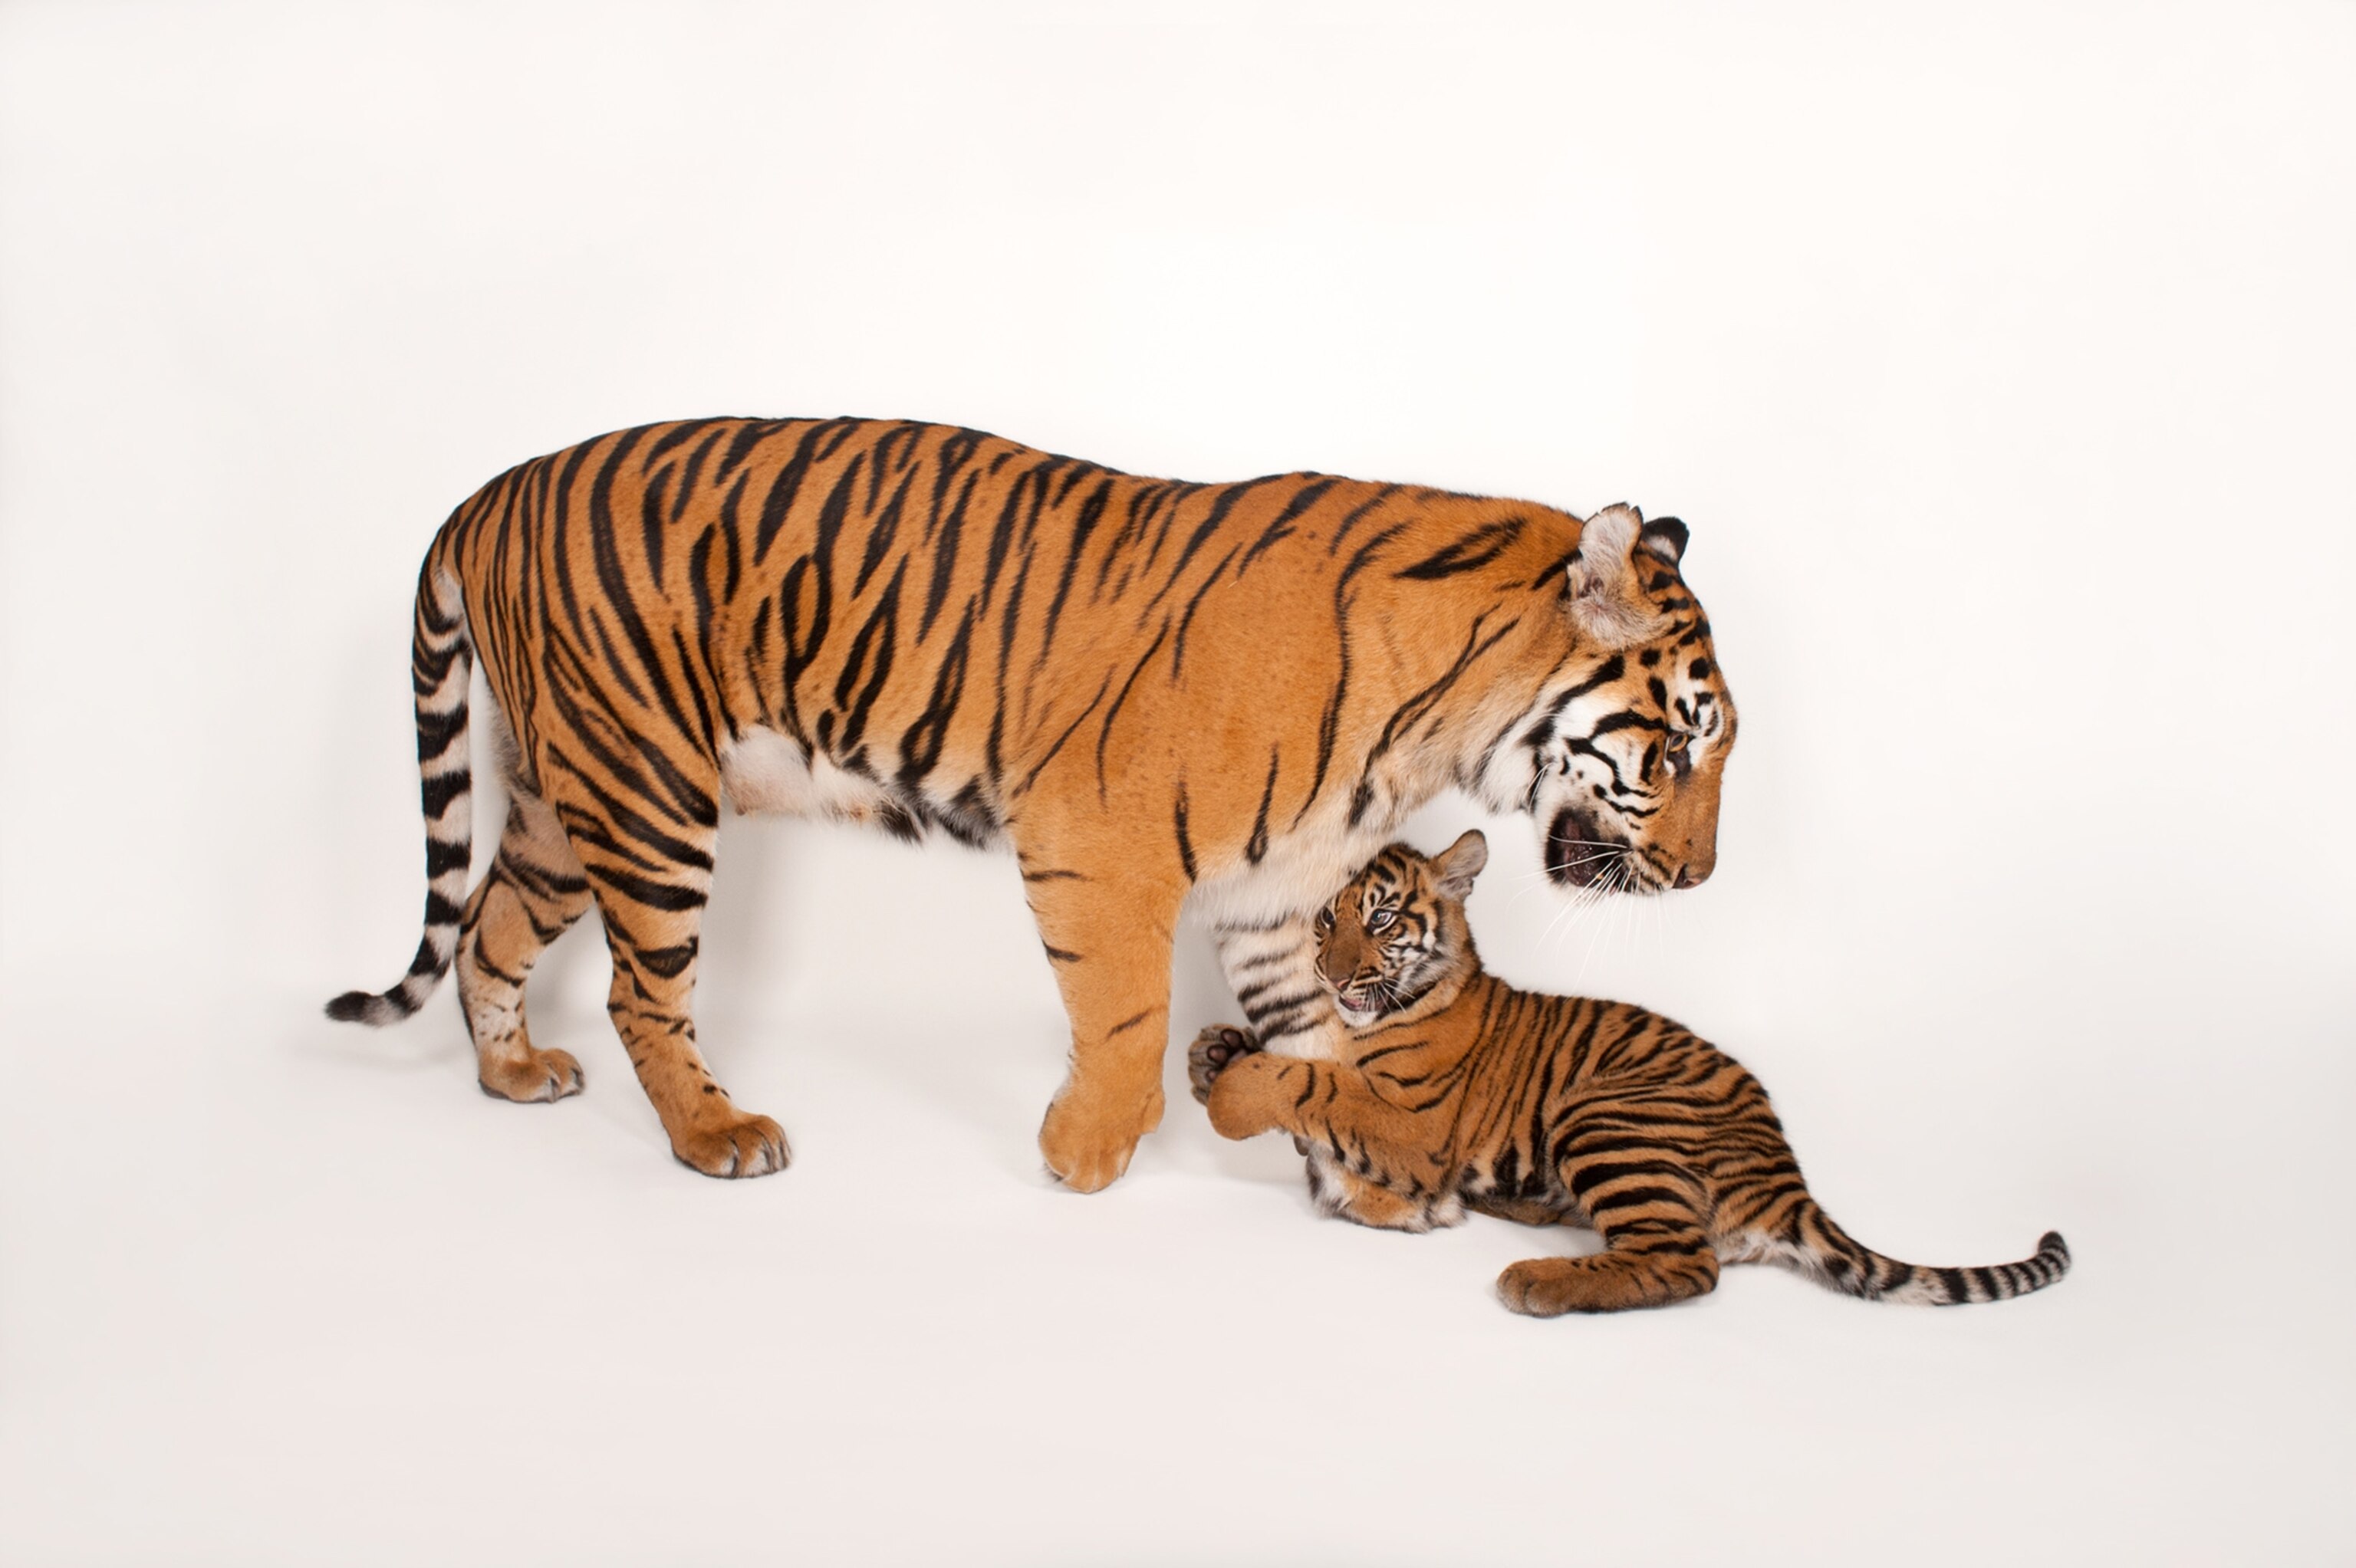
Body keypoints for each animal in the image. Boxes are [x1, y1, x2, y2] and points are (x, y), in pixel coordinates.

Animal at [326, 416, 1736, 1189]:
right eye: (1679, 750)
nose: (1705, 877)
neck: (1431, 727)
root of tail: (492, 488)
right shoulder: (1097, 843)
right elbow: (1123, 1014)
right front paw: (1089, 1153)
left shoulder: (1275, 893)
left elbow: (1314, 1046)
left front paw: (1349, 1151)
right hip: (647, 793)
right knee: (638, 990)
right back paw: (717, 1132)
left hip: (563, 799)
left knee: (490, 932)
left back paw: (514, 1074)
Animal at [1188, 832, 2072, 1313]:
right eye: (1324, 918)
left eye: (1378, 917)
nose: (1332, 976)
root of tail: (1787, 1175)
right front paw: (1212, 1052)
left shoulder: (1416, 1123)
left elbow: (1318, 1086)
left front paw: (1236, 1089)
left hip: (1605, 1113)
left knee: (1686, 1260)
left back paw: (1535, 1279)